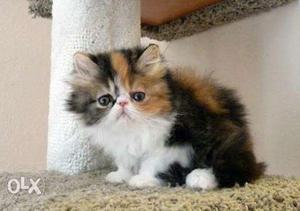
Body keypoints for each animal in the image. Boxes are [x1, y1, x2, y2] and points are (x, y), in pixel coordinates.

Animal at [66, 44, 264, 190]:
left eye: (138, 96)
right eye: (104, 100)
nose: (122, 103)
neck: (133, 130)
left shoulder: (175, 141)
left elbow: (153, 162)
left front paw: (142, 179)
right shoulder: (120, 145)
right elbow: (124, 160)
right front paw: (121, 175)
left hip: (219, 139)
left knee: (237, 170)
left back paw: (199, 178)